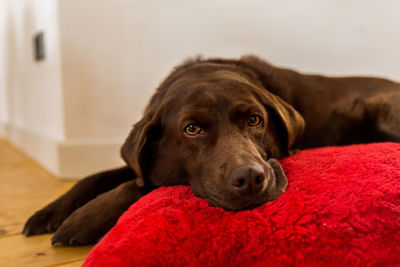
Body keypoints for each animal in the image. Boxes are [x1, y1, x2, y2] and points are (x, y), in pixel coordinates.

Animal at [22, 56, 400, 247]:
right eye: (192, 129)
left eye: (254, 119)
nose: (250, 178)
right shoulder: (141, 158)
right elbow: (99, 176)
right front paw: (50, 212)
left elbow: (140, 185)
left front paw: (82, 220)